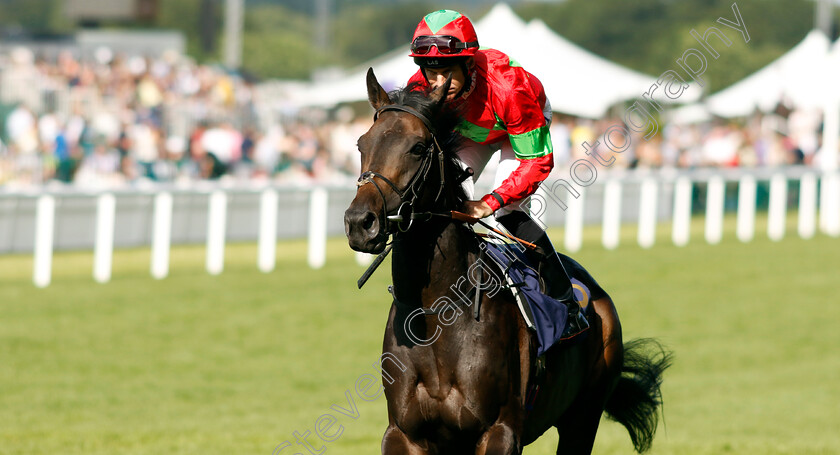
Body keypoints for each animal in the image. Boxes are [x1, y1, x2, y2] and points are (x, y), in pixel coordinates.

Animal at [342, 68, 668, 455]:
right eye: (361, 144)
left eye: (418, 147)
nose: (360, 222)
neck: (436, 314)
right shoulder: (403, 435)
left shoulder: (499, 431)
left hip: (583, 417)